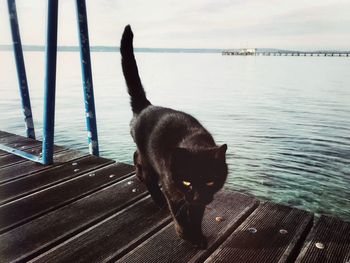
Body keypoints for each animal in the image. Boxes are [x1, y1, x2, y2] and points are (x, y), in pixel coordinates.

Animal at [120, 25, 230, 250]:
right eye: (187, 182)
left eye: (210, 182)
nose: (197, 196)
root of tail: (146, 106)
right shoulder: (173, 191)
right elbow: (180, 216)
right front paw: (186, 234)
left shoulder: (196, 202)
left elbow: (196, 215)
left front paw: (197, 235)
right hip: (148, 157)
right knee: (147, 172)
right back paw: (156, 197)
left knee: (136, 156)